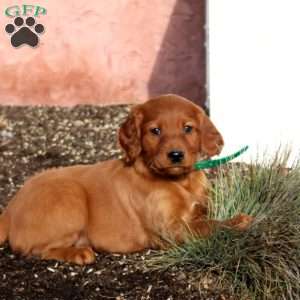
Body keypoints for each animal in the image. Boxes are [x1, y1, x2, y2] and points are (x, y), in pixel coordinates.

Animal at [0, 95, 253, 264]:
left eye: (188, 128)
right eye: (155, 131)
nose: (175, 155)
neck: (180, 181)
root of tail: (10, 209)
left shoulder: (199, 208)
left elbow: (205, 218)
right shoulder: (170, 230)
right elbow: (208, 226)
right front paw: (237, 221)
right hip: (69, 197)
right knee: (35, 249)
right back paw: (78, 253)